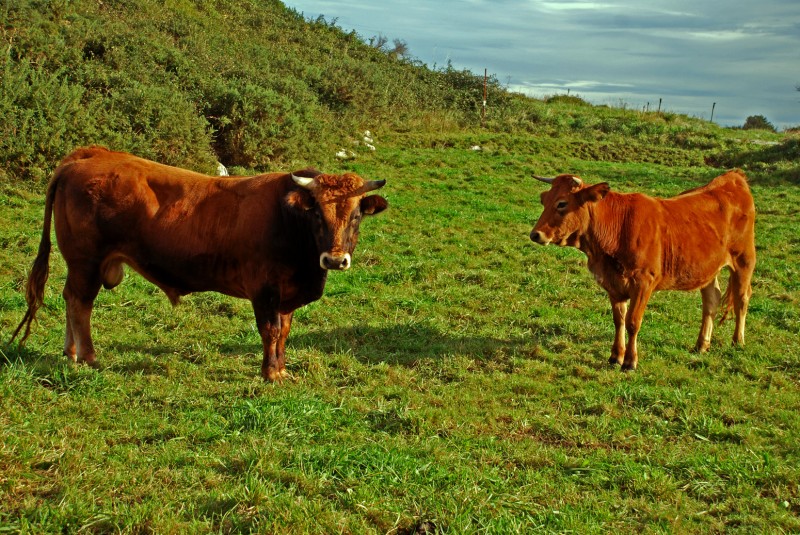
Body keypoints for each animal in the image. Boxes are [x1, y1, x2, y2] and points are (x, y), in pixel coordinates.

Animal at [11, 147, 388, 382]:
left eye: (356, 215)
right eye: (317, 213)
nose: (335, 259)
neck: (288, 219)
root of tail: (91, 154)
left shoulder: (286, 294)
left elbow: (284, 331)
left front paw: (280, 369)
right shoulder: (264, 289)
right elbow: (270, 330)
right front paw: (269, 373)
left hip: (81, 265)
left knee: (70, 298)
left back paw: (71, 353)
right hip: (86, 261)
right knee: (80, 303)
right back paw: (88, 356)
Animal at [532, 170, 756, 370]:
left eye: (562, 203)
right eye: (543, 199)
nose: (535, 234)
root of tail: (732, 178)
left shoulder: (643, 282)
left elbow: (632, 322)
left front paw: (630, 362)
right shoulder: (613, 284)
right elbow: (619, 320)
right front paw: (616, 356)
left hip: (744, 260)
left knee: (742, 298)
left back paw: (738, 341)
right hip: (708, 269)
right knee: (711, 300)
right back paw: (701, 345)